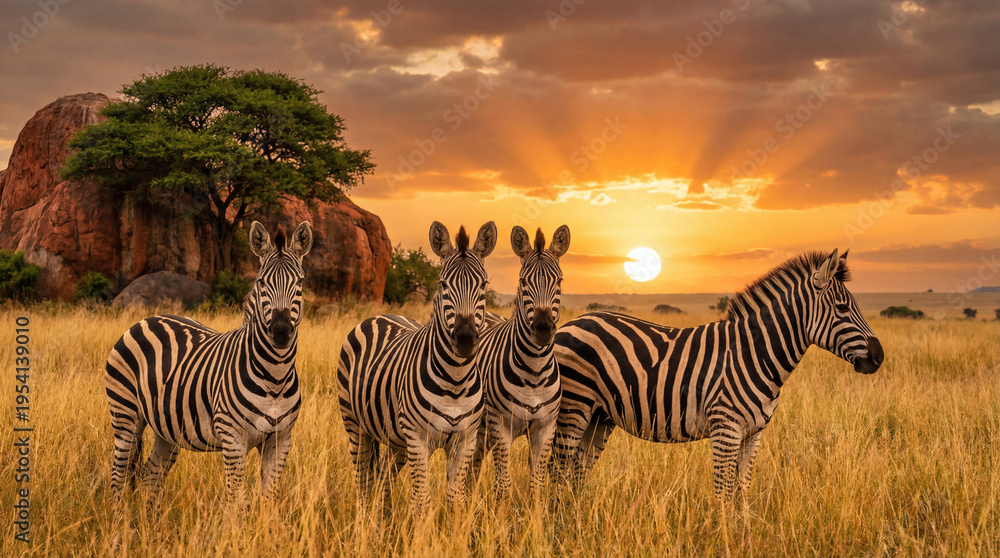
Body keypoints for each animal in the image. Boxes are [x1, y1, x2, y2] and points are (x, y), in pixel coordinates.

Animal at [105, 220, 312, 509]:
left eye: (300, 282)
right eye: (261, 282)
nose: (281, 331)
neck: (276, 377)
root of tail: (146, 319)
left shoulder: (281, 439)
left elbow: (269, 499)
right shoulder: (233, 438)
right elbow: (236, 500)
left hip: (166, 428)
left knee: (151, 474)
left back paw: (151, 522)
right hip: (125, 415)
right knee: (118, 474)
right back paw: (117, 519)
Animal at [338, 221, 497, 517]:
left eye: (483, 284)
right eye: (443, 284)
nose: (465, 339)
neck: (456, 380)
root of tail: (380, 315)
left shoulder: (465, 440)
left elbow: (455, 499)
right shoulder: (418, 438)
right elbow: (422, 500)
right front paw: (421, 530)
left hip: (396, 440)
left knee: (384, 477)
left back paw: (383, 519)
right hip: (355, 424)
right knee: (363, 478)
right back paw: (364, 521)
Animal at [468, 225, 570, 501]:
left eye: (559, 281)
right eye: (524, 281)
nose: (543, 329)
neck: (534, 371)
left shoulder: (546, 428)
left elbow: (536, 485)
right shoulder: (500, 425)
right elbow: (504, 486)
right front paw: (501, 512)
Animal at [551, 249, 883, 500]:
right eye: (842, 308)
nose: (879, 357)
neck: (754, 354)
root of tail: (570, 324)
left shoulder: (753, 433)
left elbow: (742, 493)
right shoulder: (726, 429)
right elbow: (723, 494)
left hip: (599, 417)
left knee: (575, 474)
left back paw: (577, 524)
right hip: (574, 407)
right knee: (557, 470)